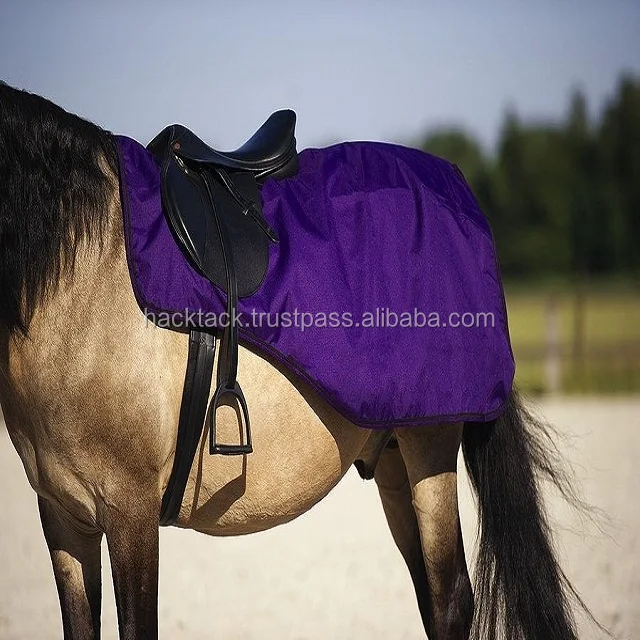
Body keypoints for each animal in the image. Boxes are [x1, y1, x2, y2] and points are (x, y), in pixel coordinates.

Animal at [0, 82, 590, 640]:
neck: (80, 276)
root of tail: (455, 186)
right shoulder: (63, 518)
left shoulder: (130, 513)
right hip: (394, 457)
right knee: (429, 596)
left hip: (432, 447)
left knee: (450, 603)